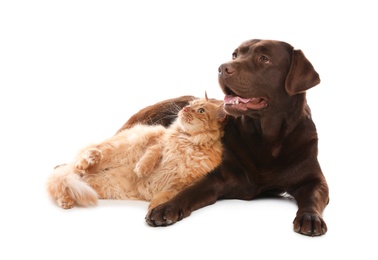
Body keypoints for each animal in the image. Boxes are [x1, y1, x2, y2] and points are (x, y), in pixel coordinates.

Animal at [45, 96, 226, 210]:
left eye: (201, 110)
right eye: (190, 105)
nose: (185, 108)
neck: (190, 142)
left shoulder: (185, 184)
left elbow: (168, 195)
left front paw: (155, 208)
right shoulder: (157, 139)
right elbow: (153, 153)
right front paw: (142, 169)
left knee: (68, 182)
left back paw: (67, 199)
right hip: (121, 147)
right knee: (79, 166)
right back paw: (90, 158)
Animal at [119, 38, 330, 236]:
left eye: (264, 58)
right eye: (235, 54)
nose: (222, 68)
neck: (266, 138)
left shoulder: (314, 180)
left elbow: (312, 198)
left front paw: (310, 218)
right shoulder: (216, 178)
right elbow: (190, 191)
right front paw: (165, 207)